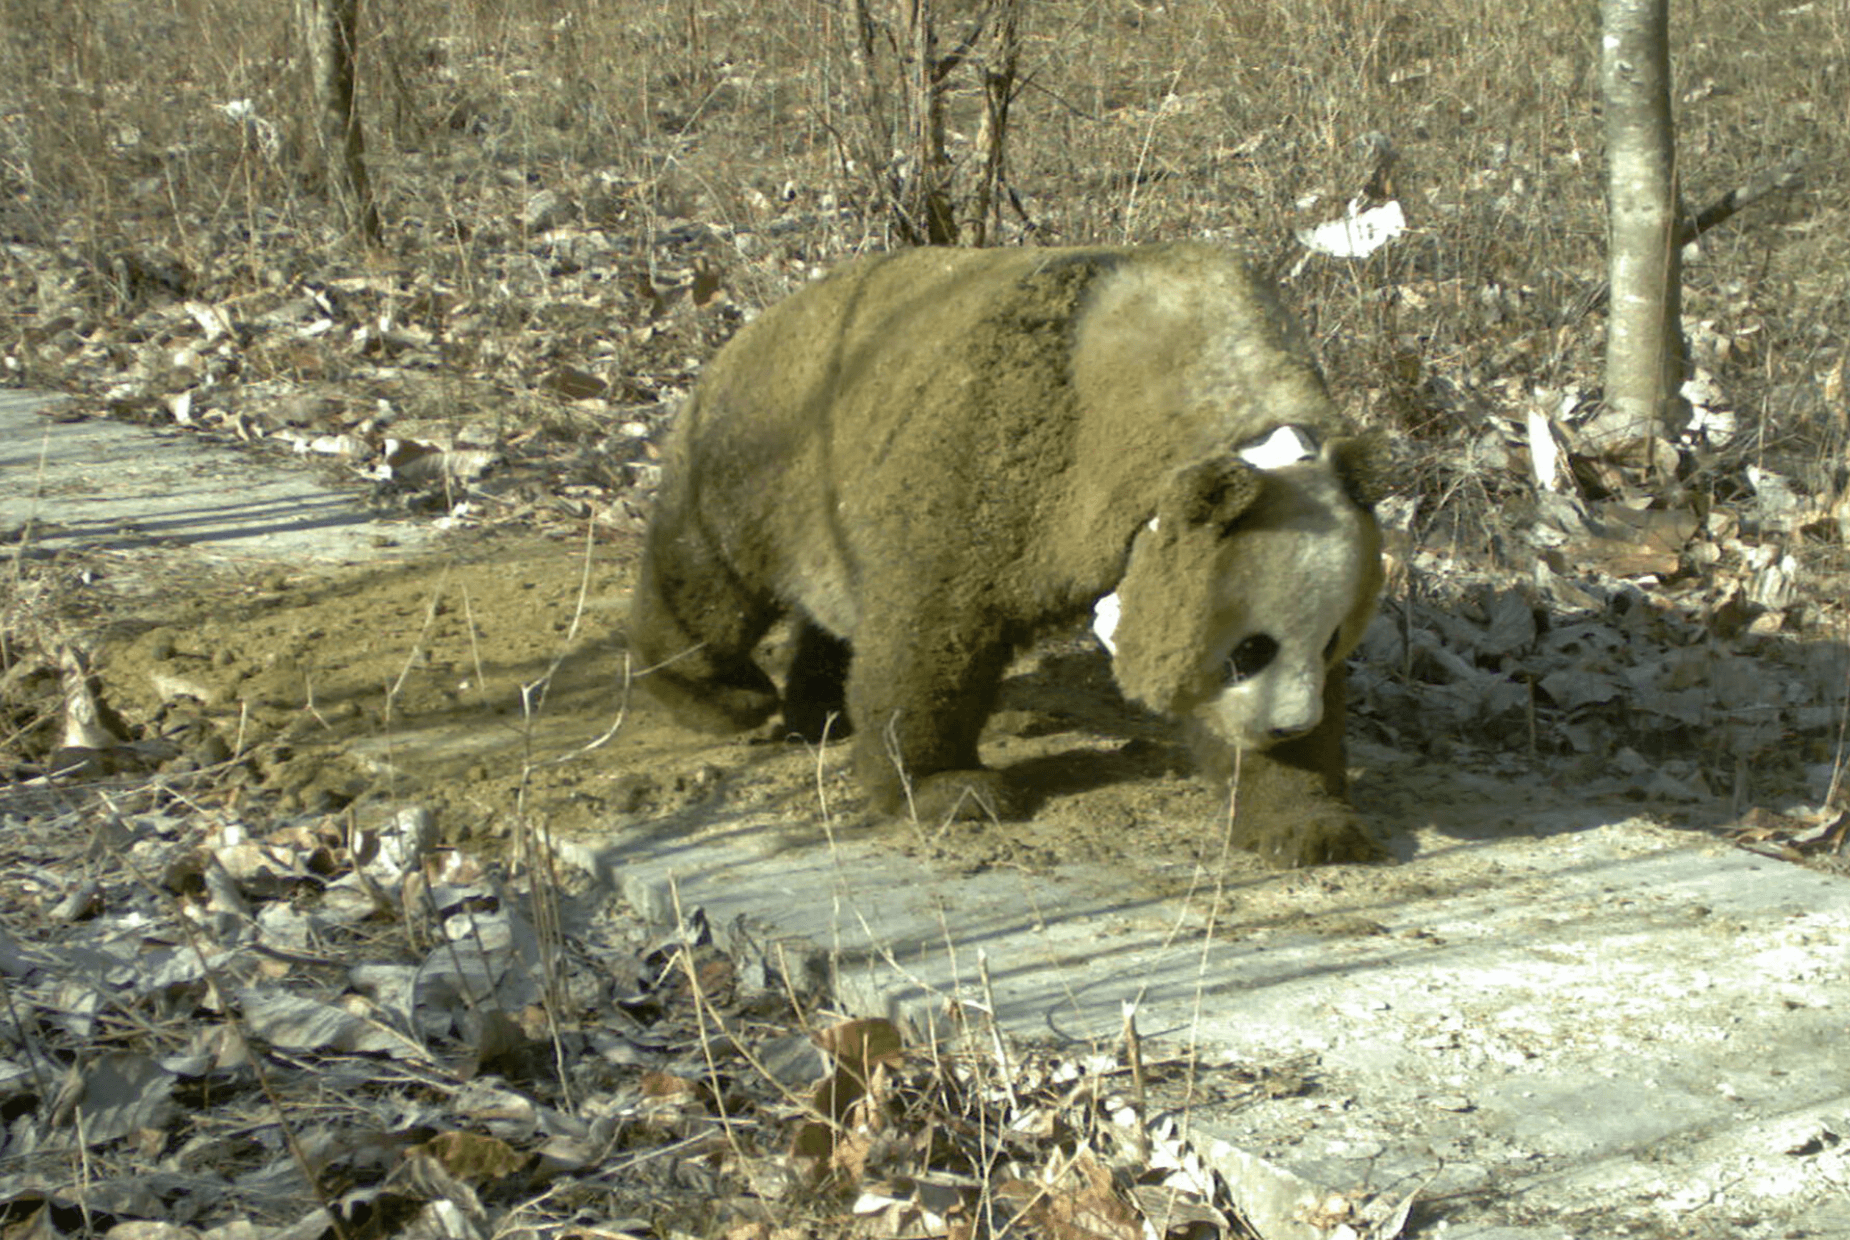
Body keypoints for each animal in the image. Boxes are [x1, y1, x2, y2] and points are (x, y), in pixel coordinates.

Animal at [626, 242, 1385, 867]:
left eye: (1331, 643)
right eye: (1249, 650)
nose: (1288, 726)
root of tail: (756, 323)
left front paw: (1307, 821)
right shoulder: (1008, 452)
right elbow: (932, 627)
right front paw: (949, 790)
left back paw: (821, 708)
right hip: (762, 458)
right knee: (710, 578)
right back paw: (724, 696)